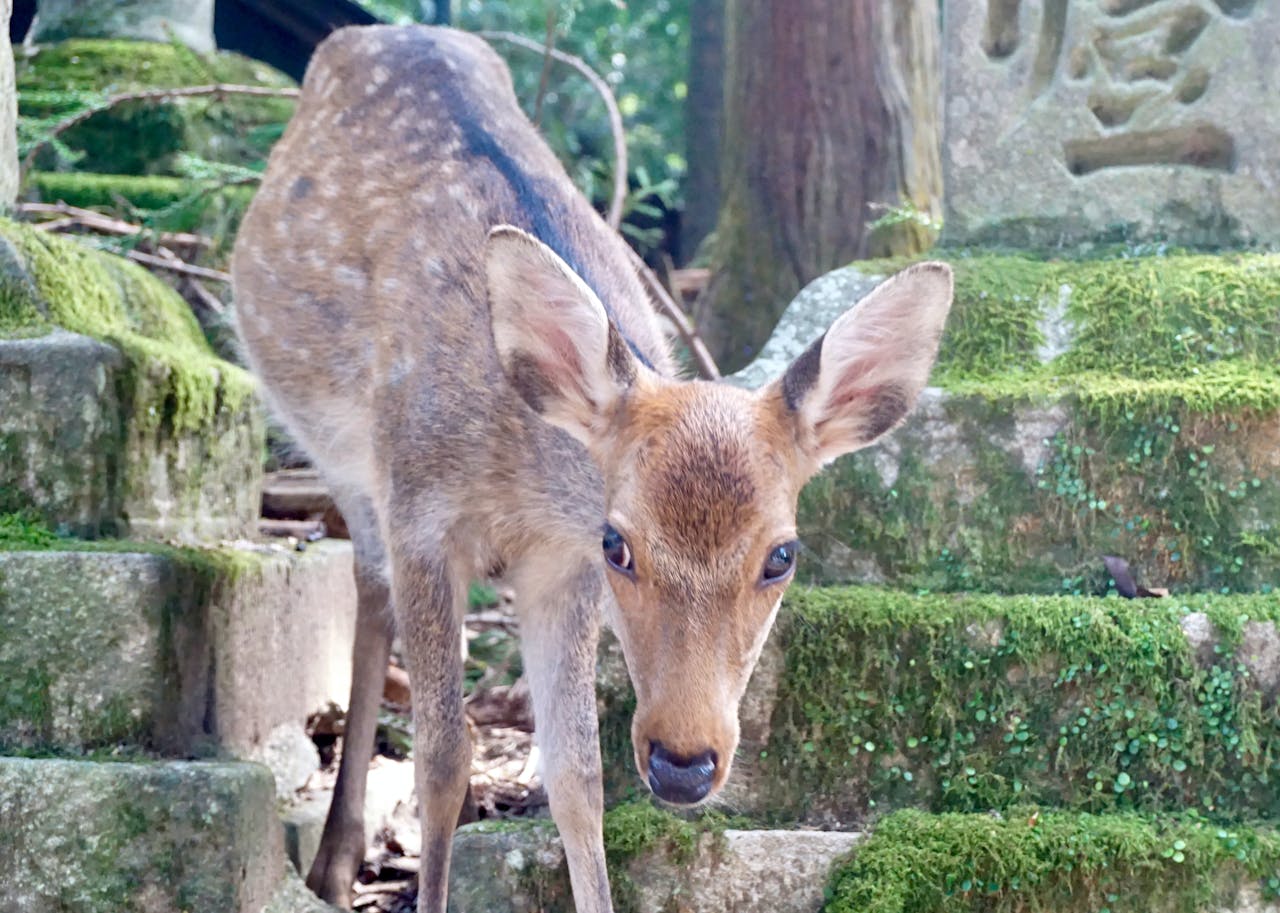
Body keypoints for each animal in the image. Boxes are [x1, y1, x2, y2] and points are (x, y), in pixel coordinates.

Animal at [230, 24, 952, 911]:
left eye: (782, 555)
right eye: (621, 544)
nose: (684, 764)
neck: (517, 481)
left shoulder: (558, 567)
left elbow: (579, 776)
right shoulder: (424, 515)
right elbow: (443, 759)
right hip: (342, 453)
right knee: (367, 586)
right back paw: (336, 860)